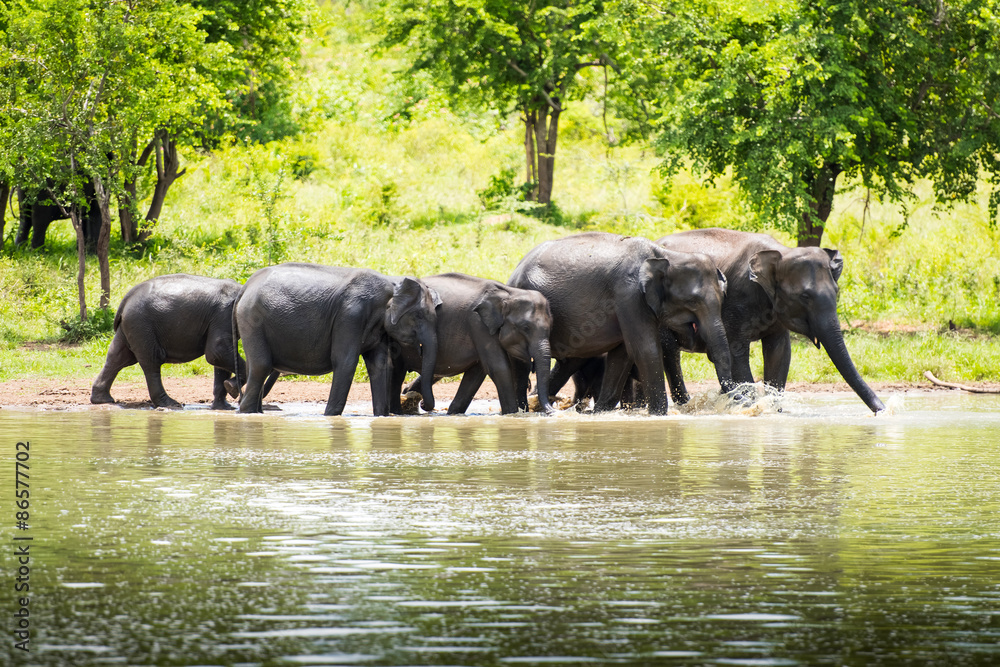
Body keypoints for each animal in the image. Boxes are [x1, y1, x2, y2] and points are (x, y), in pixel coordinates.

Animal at [90, 274, 247, 409]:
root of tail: (126, 299)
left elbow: (219, 359)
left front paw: (224, 406)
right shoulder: (224, 314)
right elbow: (216, 351)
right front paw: (232, 389)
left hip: (131, 326)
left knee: (117, 357)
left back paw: (102, 399)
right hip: (141, 325)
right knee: (152, 361)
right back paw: (170, 404)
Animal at [233, 263, 441, 416]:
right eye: (419, 316)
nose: (423, 404)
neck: (392, 282)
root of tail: (246, 285)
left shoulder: (379, 327)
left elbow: (380, 364)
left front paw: (381, 416)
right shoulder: (350, 315)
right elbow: (346, 362)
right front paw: (330, 416)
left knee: (254, 367)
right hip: (252, 319)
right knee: (261, 365)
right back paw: (247, 413)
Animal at [390, 273, 554, 415]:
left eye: (550, 328)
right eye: (526, 328)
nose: (552, 411)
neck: (510, 293)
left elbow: (476, 373)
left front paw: (454, 413)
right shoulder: (478, 325)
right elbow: (498, 368)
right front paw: (512, 415)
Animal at [508, 231, 735, 414]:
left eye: (724, 297)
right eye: (692, 302)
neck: (667, 255)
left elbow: (622, 354)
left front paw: (600, 412)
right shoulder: (629, 295)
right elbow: (645, 349)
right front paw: (658, 415)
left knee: (566, 363)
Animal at [656, 228, 885, 413]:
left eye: (836, 292)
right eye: (804, 296)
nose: (882, 410)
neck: (782, 252)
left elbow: (780, 352)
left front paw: (773, 411)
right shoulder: (737, 300)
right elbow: (737, 353)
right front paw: (754, 408)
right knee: (671, 353)